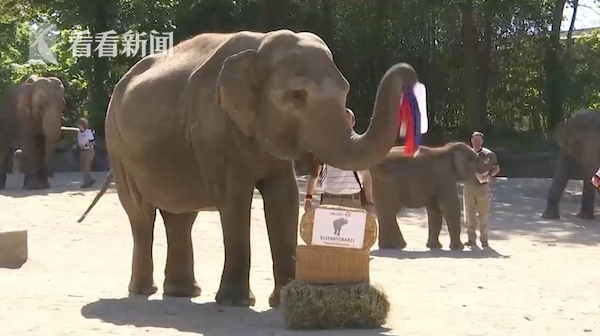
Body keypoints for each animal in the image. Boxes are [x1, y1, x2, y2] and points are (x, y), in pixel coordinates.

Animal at [78, 30, 418, 308]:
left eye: (345, 90)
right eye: (298, 95)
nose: (409, 75)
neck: (260, 46)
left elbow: (283, 198)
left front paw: (283, 300)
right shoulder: (214, 127)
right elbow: (235, 200)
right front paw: (237, 302)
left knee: (180, 216)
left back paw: (183, 293)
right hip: (117, 144)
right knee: (141, 215)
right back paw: (142, 291)